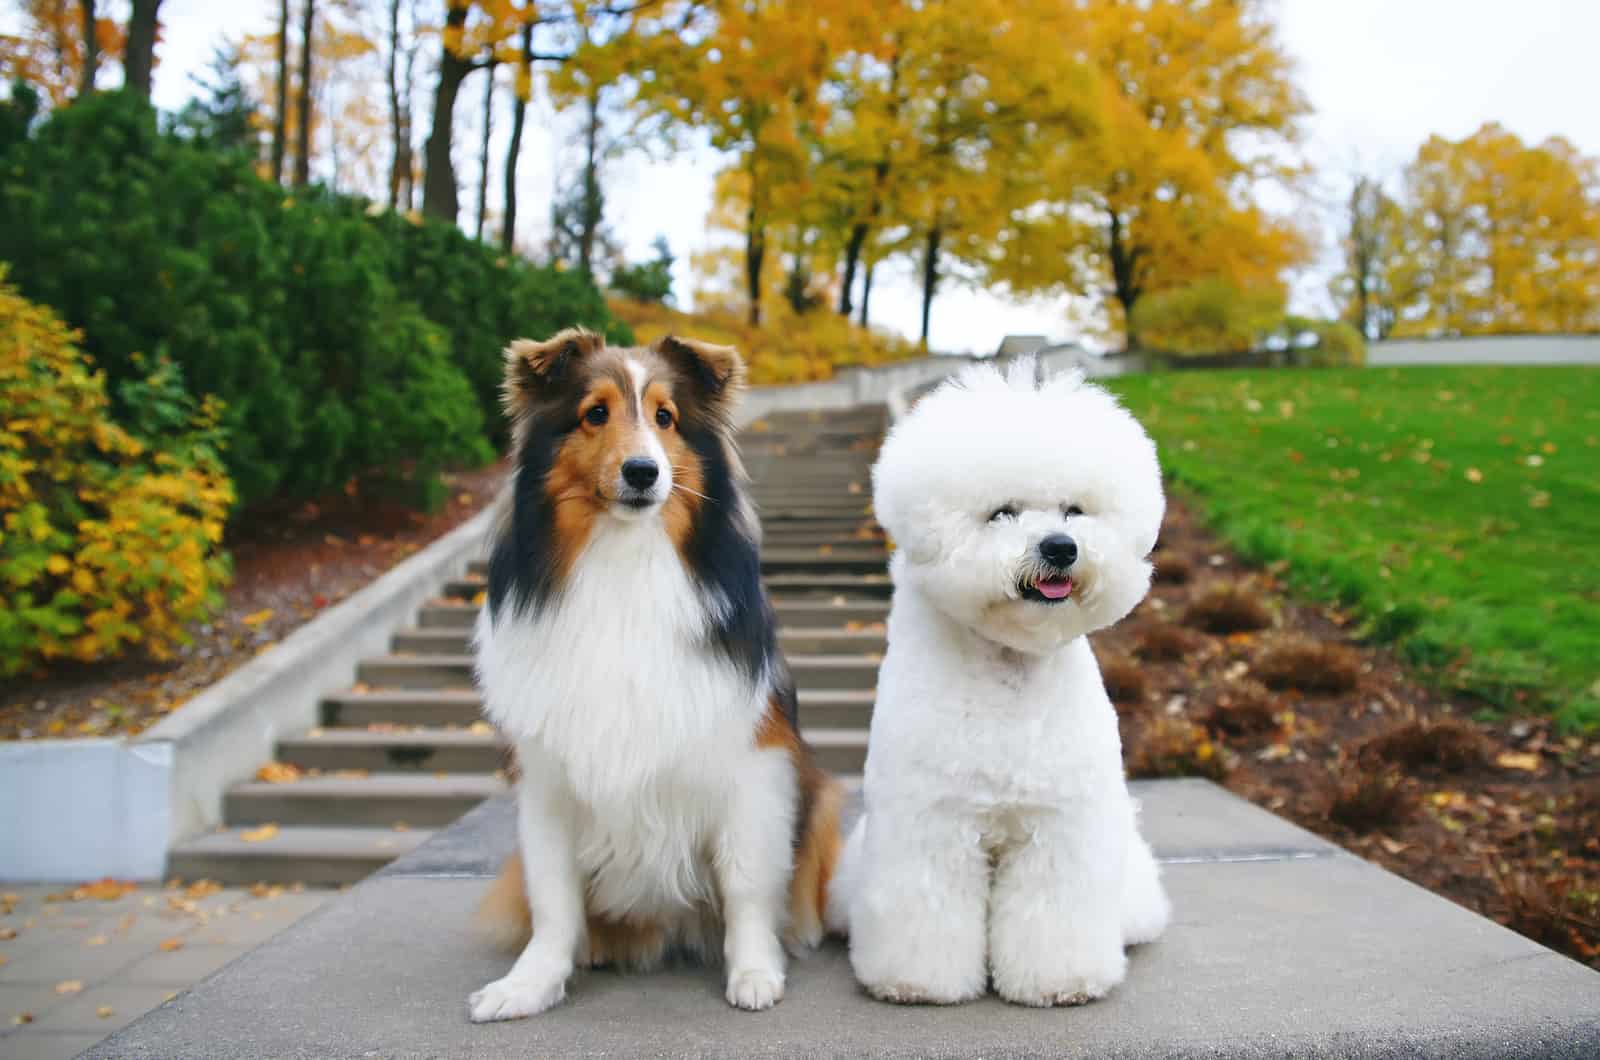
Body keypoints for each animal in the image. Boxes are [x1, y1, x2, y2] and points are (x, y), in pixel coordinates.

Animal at [467, 329, 844, 1024]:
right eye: (595, 413)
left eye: (666, 418)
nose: (643, 472)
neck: (626, 557)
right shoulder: (545, 780)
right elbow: (552, 897)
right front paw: (529, 984)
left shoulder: (754, 764)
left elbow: (748, 880)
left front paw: (755, 972)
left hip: (823, 795)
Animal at [832, 361, 1171, 1011]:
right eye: (1001, 513)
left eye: (1074, 511)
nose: (1060, 547)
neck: (1010, 667)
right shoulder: (930, 820)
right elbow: (927, 905)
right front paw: (917, 983)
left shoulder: (1061, 825)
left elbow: (1054, 909)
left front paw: (1062, 982)